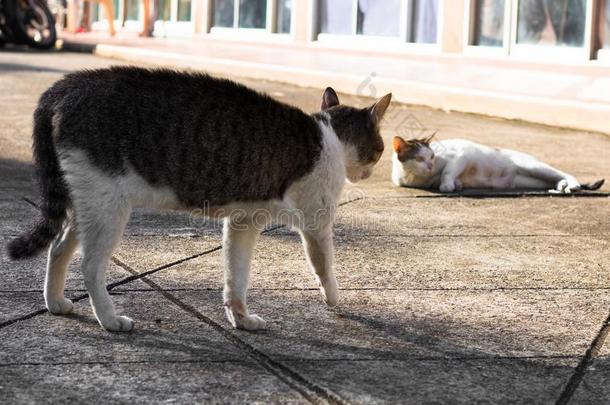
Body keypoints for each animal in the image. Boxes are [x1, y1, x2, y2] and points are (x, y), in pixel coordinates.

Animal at [7, 67, 390, 332]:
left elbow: (237, 276)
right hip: (108, 207)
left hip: (87, 203)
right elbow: (324, 266)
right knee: (89, 267)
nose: (371, 172)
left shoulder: (243, 223)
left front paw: (241, 318)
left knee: (58, 247)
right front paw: (335, 299)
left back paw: (56, 302)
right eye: (381, 149)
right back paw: (110, 320)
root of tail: (66, 85)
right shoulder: (316, 223)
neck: (331, 135)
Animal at [392, 136, 600, 193]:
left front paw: (448, 185)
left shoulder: (459, 156)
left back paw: (572, 184)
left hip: (533, 167)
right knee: (553, 179)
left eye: (432, 157)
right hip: (530, 179)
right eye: (419, 159)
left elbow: (447, 173)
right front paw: (457, 184)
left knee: (562, 172)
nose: (429, 166)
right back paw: (562, 186)